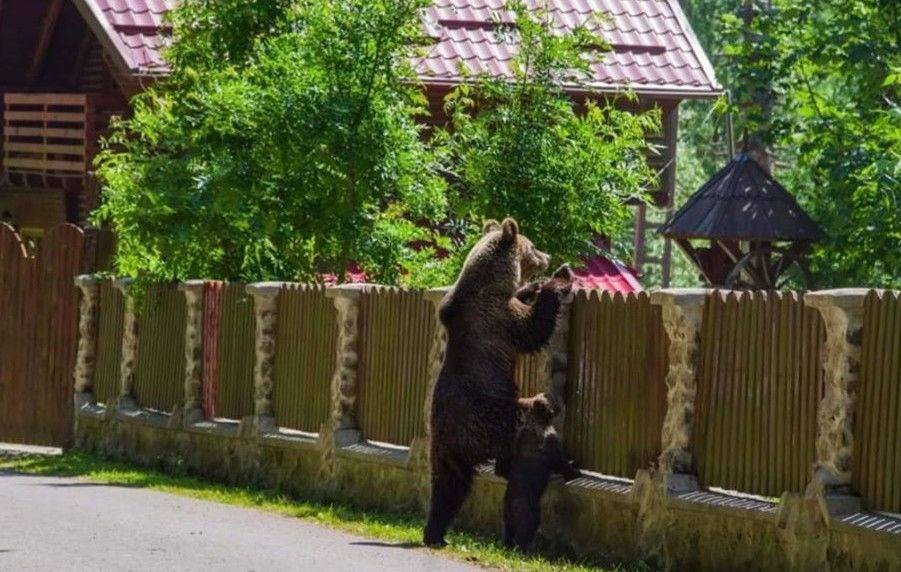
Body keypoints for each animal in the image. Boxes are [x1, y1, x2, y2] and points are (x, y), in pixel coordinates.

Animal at [422, 217, 568, 548]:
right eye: (532, 246)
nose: (547, 256)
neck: (490, 284)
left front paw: (532, 286)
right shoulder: (498, 319)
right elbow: (532, 328)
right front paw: (558, 279)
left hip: (447, 448)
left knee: (449, 485)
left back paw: (435, 532)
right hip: (493, 417)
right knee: (524, 423)